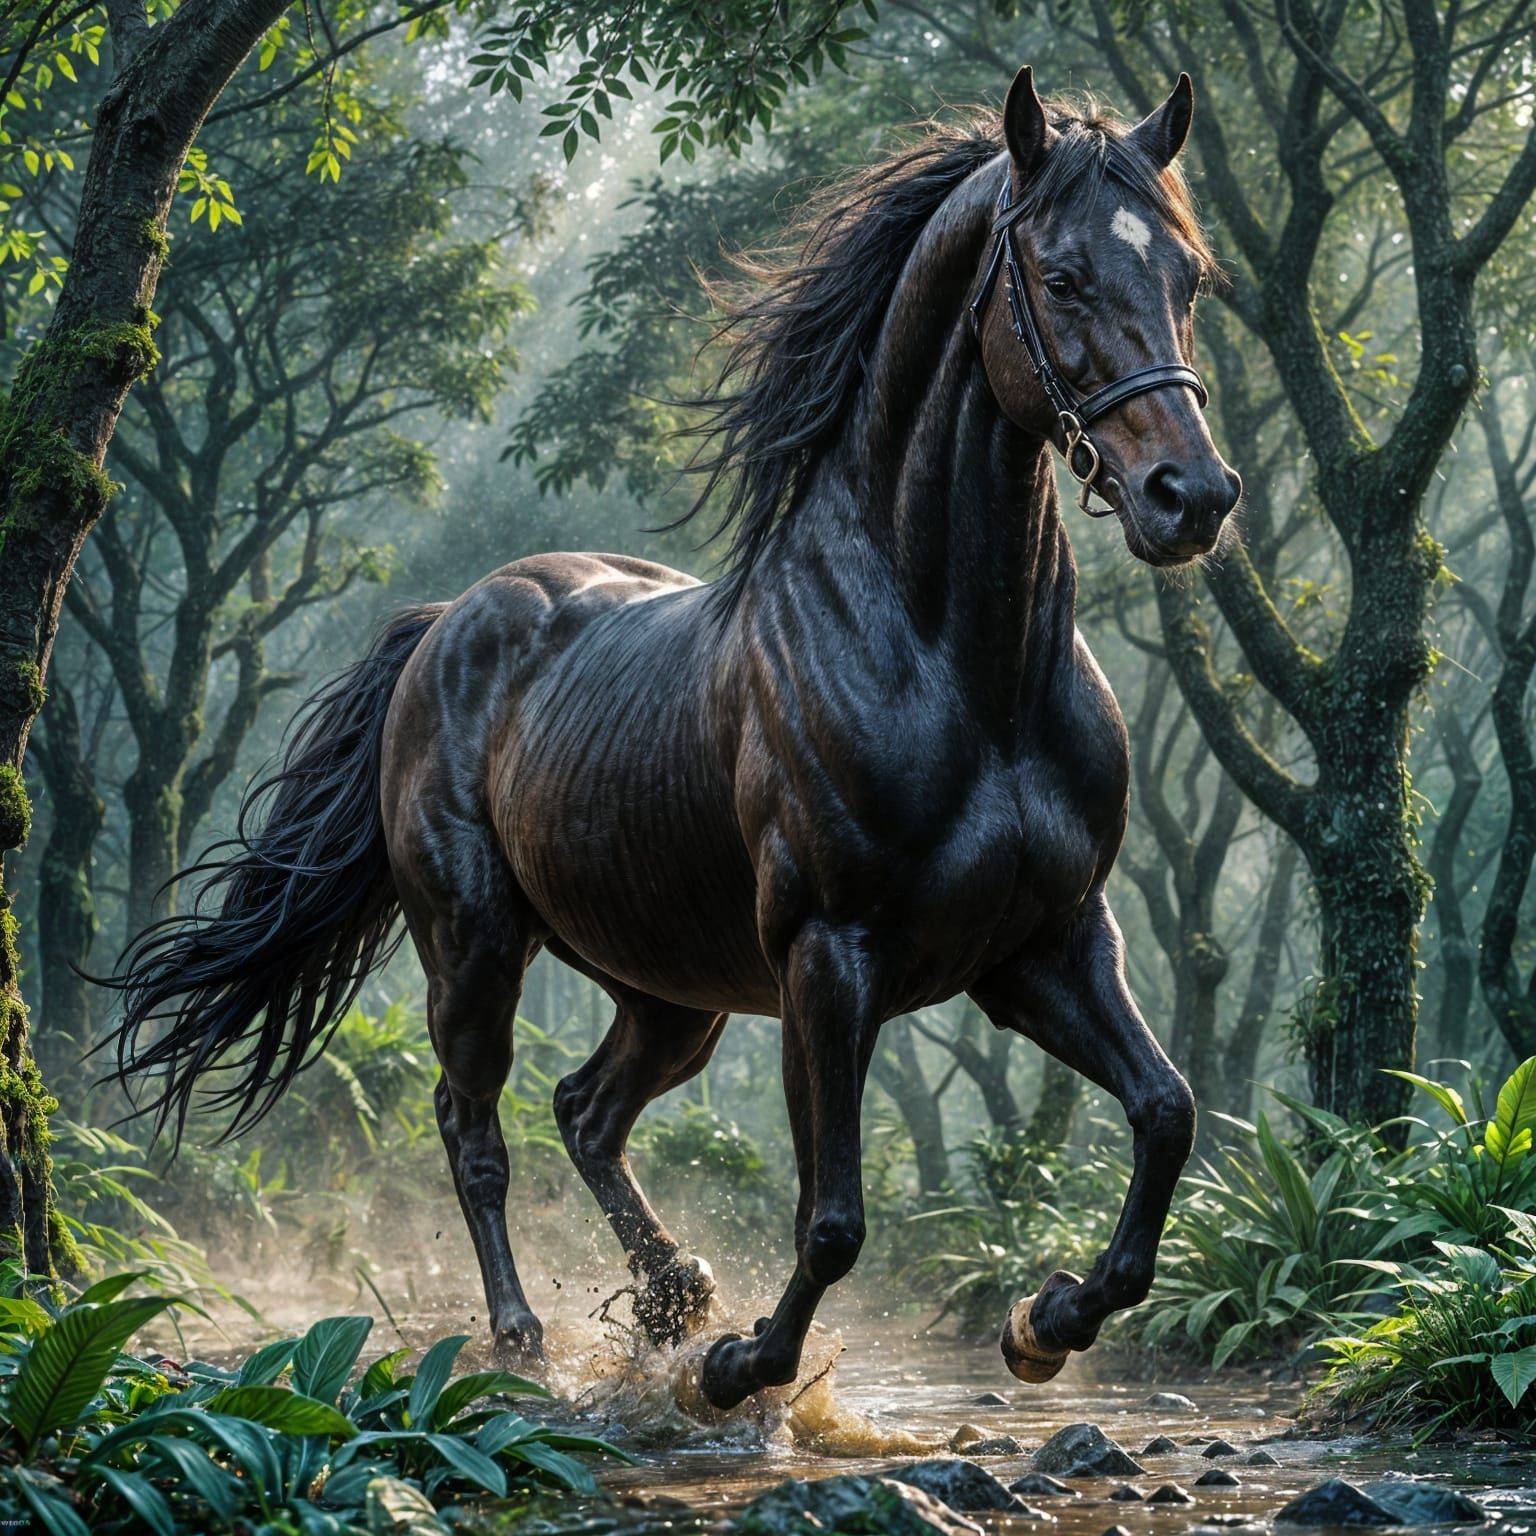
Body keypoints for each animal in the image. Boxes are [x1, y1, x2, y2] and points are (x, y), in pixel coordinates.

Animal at [105, 66, 1240, 1409]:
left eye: (1189, 275)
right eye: (1061, 277)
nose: (1193, 498)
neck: (960, 666)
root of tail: (451, 622)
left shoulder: (1049, 944)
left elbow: (1167, 1111)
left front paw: (1045, 1317)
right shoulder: (830, 959)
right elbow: (832, 1220)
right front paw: (744, 1366)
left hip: (669, 990)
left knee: (585, 1111)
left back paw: (672, 1292)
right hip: (474, 949)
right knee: (474, 1129)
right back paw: (529, 1341)